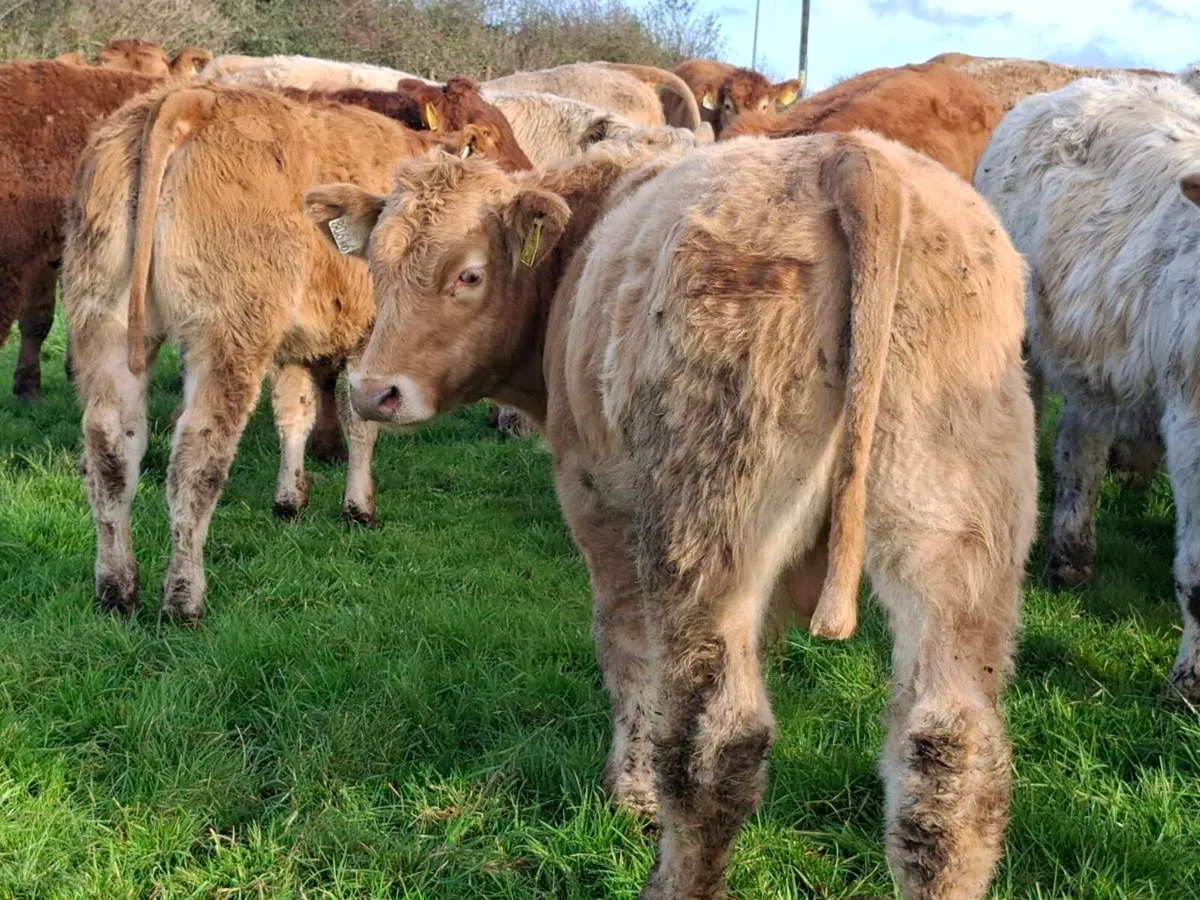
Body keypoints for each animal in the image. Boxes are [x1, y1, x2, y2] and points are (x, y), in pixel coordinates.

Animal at [62, 82, 513, 622]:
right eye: (491, 137)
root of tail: (187, 98)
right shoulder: (370, 336)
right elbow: (358, 422)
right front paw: (358, 508)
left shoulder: (295, 345)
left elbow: (294, 412)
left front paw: (290, 499)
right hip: (229, 332)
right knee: (197, 456)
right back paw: (184, 599)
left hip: (102, 318)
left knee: (111, 450)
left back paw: (116, 591)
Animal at [304, 131, 1036, 899]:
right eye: (377, 266)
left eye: (468, 275)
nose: (372, 391)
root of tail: (852, 157)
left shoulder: (597, 498)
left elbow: (629, 651)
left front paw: (632, 792)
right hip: (958, 544)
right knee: (949, 751)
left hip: (702, 524)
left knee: (717, 745)